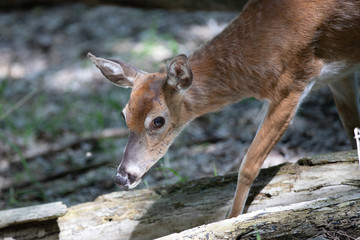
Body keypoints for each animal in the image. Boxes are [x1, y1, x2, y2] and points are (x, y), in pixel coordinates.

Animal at [87, 0, 360, 218]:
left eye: (158, 121)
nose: (122, 177)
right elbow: (351, 127)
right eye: (124, 114)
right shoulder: (338, 74)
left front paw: (230, 218)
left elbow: (248, 166)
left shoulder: (294, 82)